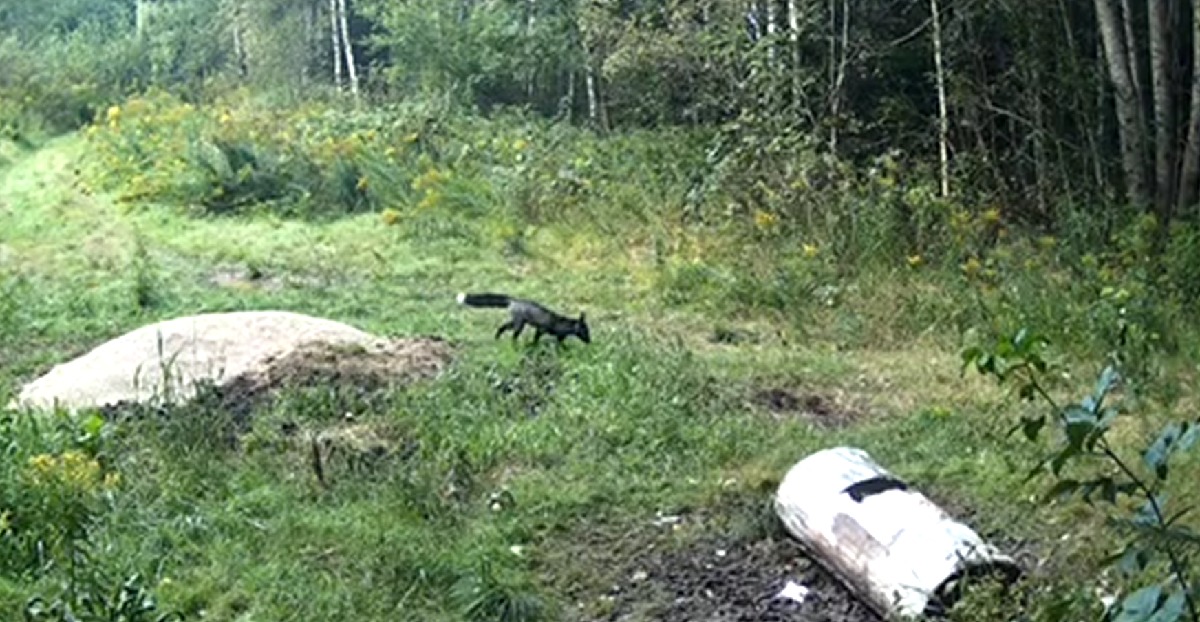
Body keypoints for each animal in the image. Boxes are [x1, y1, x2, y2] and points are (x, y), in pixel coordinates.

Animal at [456, 292, 591, 345]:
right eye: (585, 331)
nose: (589, 341)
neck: (563, 323)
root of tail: (514, 300)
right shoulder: (541, 329)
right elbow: (537, 338)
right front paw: (534, 344)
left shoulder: (559, 337)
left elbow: (560, 343)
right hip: (519, 324)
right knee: (513, 334)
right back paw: (513, 344)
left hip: (516, 321)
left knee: (502, 326)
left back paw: (497, 338)